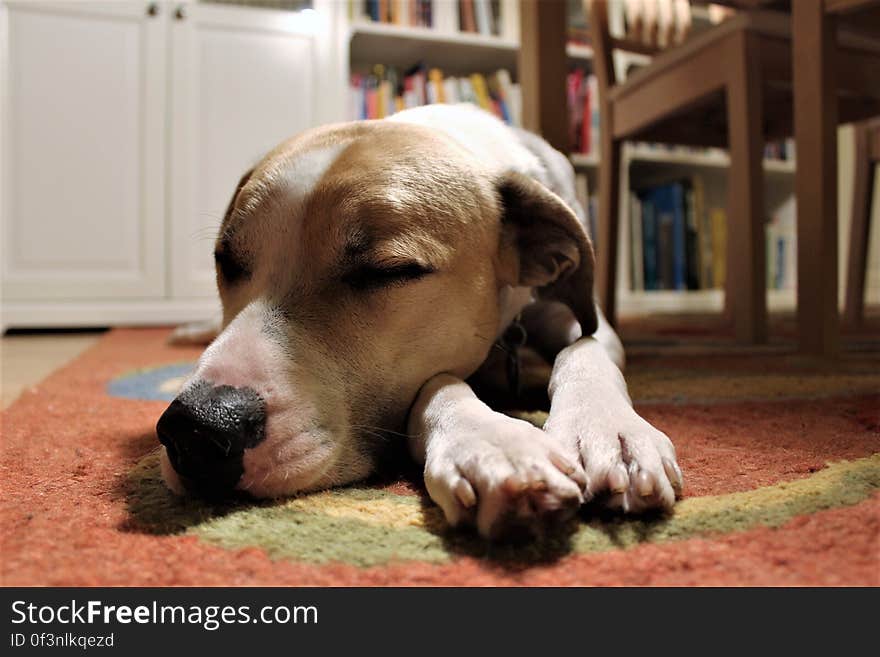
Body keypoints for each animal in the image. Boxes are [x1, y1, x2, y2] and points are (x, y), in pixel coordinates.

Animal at [156, 104, 680, 540]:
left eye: (387, 271)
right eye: (225, 259)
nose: (196, 430)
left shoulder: (588, 322)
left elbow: (583, 348)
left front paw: (611, 432)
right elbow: (436, 382)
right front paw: (493, 443)